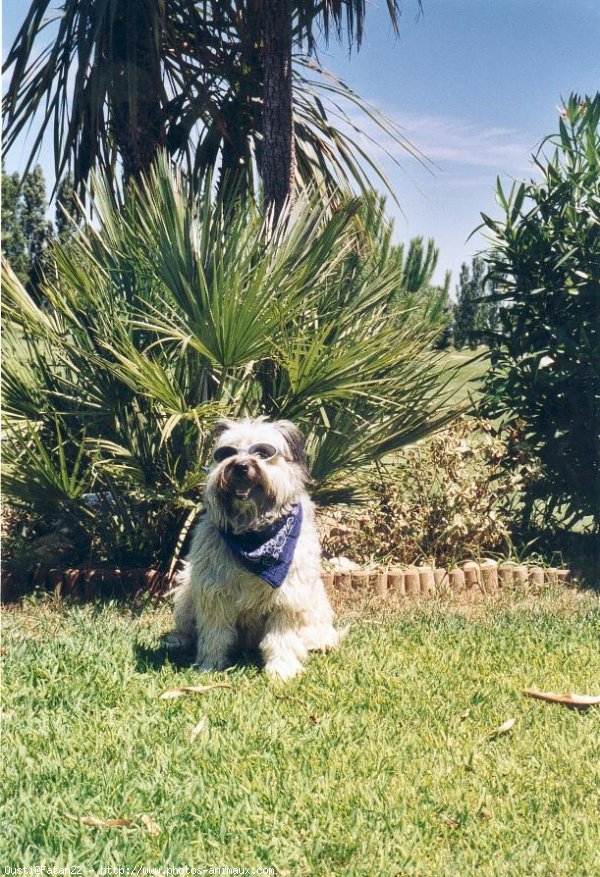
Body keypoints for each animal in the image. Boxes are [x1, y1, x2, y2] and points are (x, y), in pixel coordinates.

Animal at [169, 416, 344, 676]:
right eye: (227, 452)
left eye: (263, 453)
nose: (240, 466)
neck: (253, 535)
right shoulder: (214, 592)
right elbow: (215, 635)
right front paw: (210, 666)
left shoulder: (287, 597)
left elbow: (280, 638)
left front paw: (282, 669)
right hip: (186, 587)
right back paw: (177, 640)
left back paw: (321, 643)